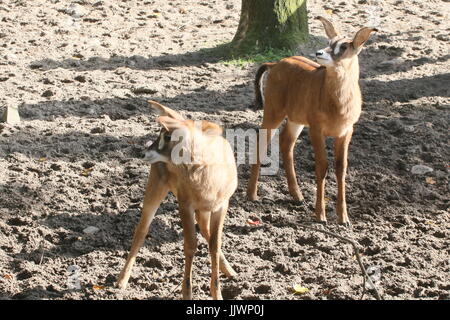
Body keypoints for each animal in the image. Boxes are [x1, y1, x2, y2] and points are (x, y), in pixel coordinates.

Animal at [118, 102, 239, 300]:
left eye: (167, 136)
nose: (145, 153)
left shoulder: (221, 206)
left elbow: (215, 245)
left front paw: (217, 293)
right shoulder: (185, 206)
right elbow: (190, 245)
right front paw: (187, 292)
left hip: (204, 209)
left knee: (205, 231)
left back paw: (230, 270)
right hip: (155, 190)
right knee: (141, 230)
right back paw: (121, 280)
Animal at [248, 15, 378, 225]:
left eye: (344, 46)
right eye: (330, 42)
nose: (319, 52)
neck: (338, 103)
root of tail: (275, 65)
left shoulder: (346, 132)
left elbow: (341, 169)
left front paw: (344, 218)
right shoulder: (317, 130)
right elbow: (321, 167)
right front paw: (320, 215)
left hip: (296, 120)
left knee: (286, 142)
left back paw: (298, 196)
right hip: (273, 112)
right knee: (261, 142)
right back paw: (251, 195)